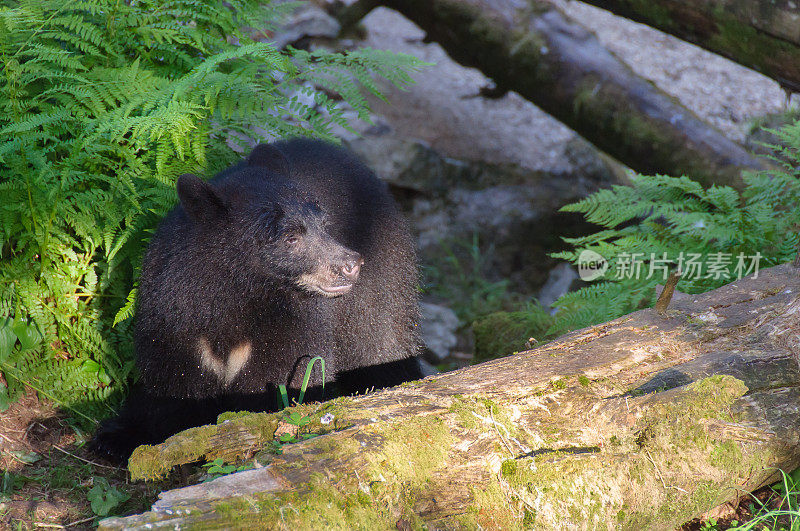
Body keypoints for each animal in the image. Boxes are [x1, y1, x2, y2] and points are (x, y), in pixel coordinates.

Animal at [90, 138, 422, 462]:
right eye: (291, 238)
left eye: (324, 225)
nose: (350, 264)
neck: (233, 297)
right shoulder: (173, 318)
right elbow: (171, 387)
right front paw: (116, 437)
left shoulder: (291, 325)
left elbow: (283, 379)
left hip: (379, 286)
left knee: (382, 344)